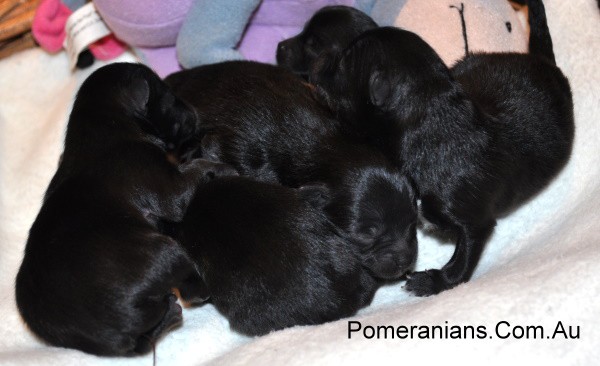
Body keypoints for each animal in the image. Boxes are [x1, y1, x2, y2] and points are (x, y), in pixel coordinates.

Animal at [15, 62, 232, 354]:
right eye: (167, 96)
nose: (195, 114)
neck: (101, 123)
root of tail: (111, 327)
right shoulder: (168, 185)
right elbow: (195, 169)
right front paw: (222, 167)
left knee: (142, 343)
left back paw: (170, 314)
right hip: (168, 252)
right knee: (190, 288)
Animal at [312, 0, 576, 296]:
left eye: (343, 63)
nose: (319, 58)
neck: (429, 118)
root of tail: (544, 62)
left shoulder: (474, 220)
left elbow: (462, 260)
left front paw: (431, 281)